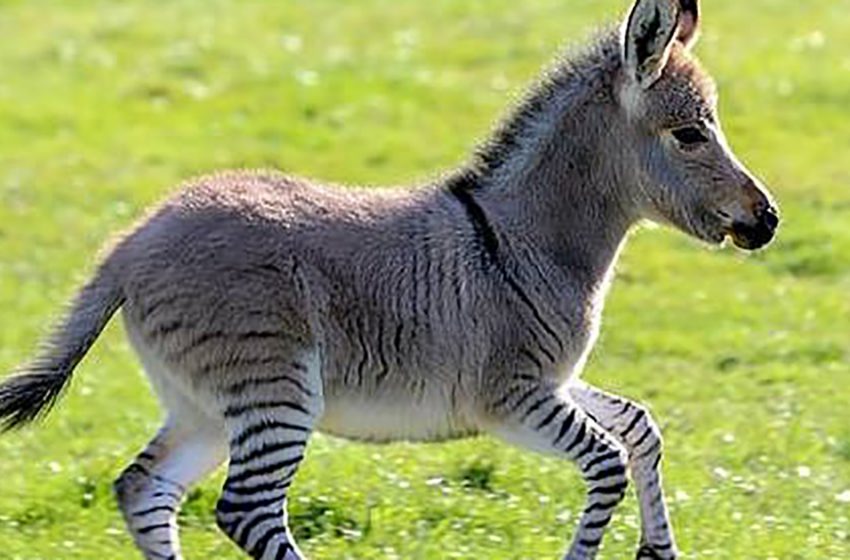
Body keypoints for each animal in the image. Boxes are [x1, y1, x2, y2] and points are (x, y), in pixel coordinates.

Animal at [0, 0, 779, 558]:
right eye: (690, 134)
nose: (767, 221)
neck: (525, 240)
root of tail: (130, 241)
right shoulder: (513, 397)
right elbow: (609, 462)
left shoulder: (553, 381)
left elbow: (641, 427)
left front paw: (658, 549)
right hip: (275, 391)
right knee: (246, 511)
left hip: (201, 404)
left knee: (144, 489)